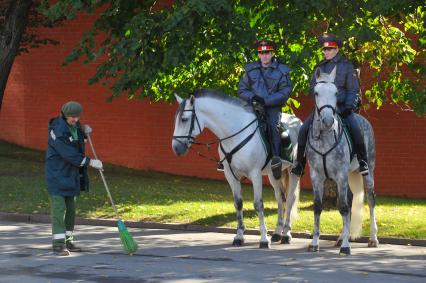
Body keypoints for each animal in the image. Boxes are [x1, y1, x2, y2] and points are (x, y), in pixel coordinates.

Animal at [171, 90, 302, 248]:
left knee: (290, 199)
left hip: (293, 171)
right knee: (280, 197)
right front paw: (239, 236)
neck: (234, 134)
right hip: (274, 174)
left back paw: (286, 234)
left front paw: (263, 239)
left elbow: (258, 205)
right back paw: (277, 233)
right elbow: (238, 203)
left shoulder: (255, 175)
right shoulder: (231, 175)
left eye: (184, 119)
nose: (176, 148)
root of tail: (297, 121)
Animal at [306, 67, 380, 256]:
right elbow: (318, 207)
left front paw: (346, 246)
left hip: (368, 171)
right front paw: (314, 243)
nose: (327, 121)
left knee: (370, 199)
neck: (325, 138)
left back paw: (373, 239)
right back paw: (340, 238)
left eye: (336, 92)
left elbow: (344, 208)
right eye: (316, 92)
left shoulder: (340, 174)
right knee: (350, 199)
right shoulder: (316, 176)